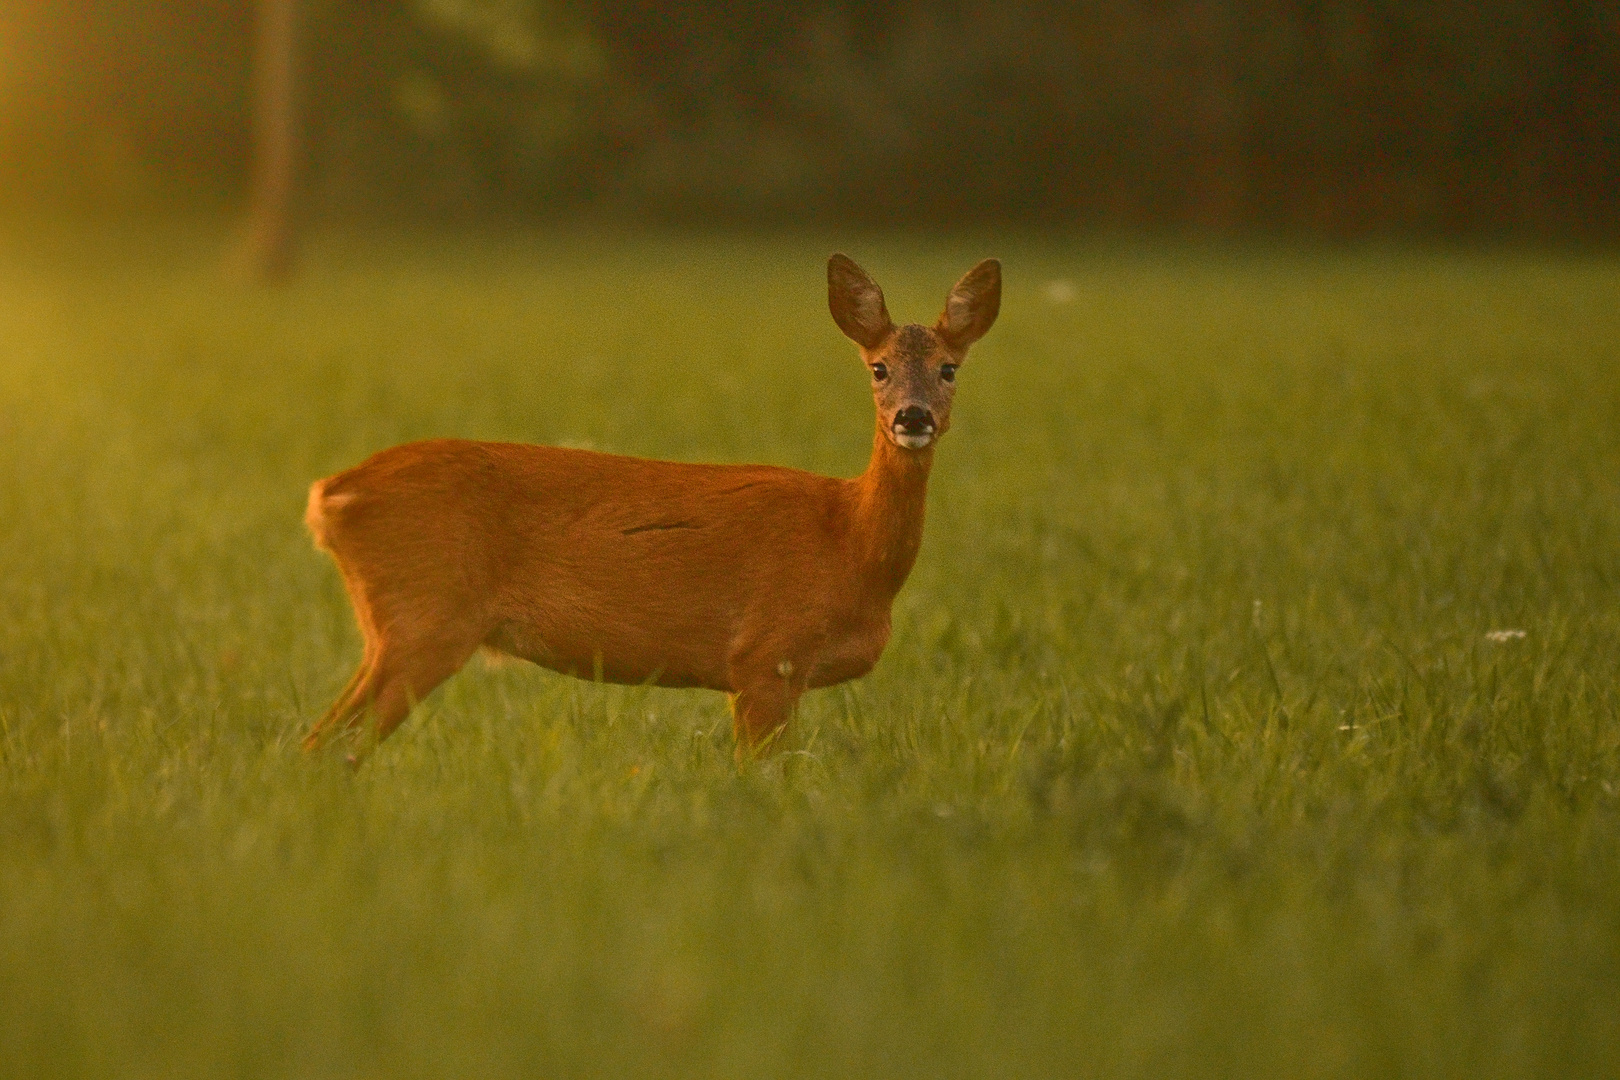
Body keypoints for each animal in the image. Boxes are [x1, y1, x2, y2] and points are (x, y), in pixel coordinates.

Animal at [298, 254, 991, 764]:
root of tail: (329, 495)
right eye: (878, 368)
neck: (850, 540)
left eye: (949, 369)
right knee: (325, 744)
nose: (913, 418)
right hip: (425, 616)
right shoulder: (766, 654)